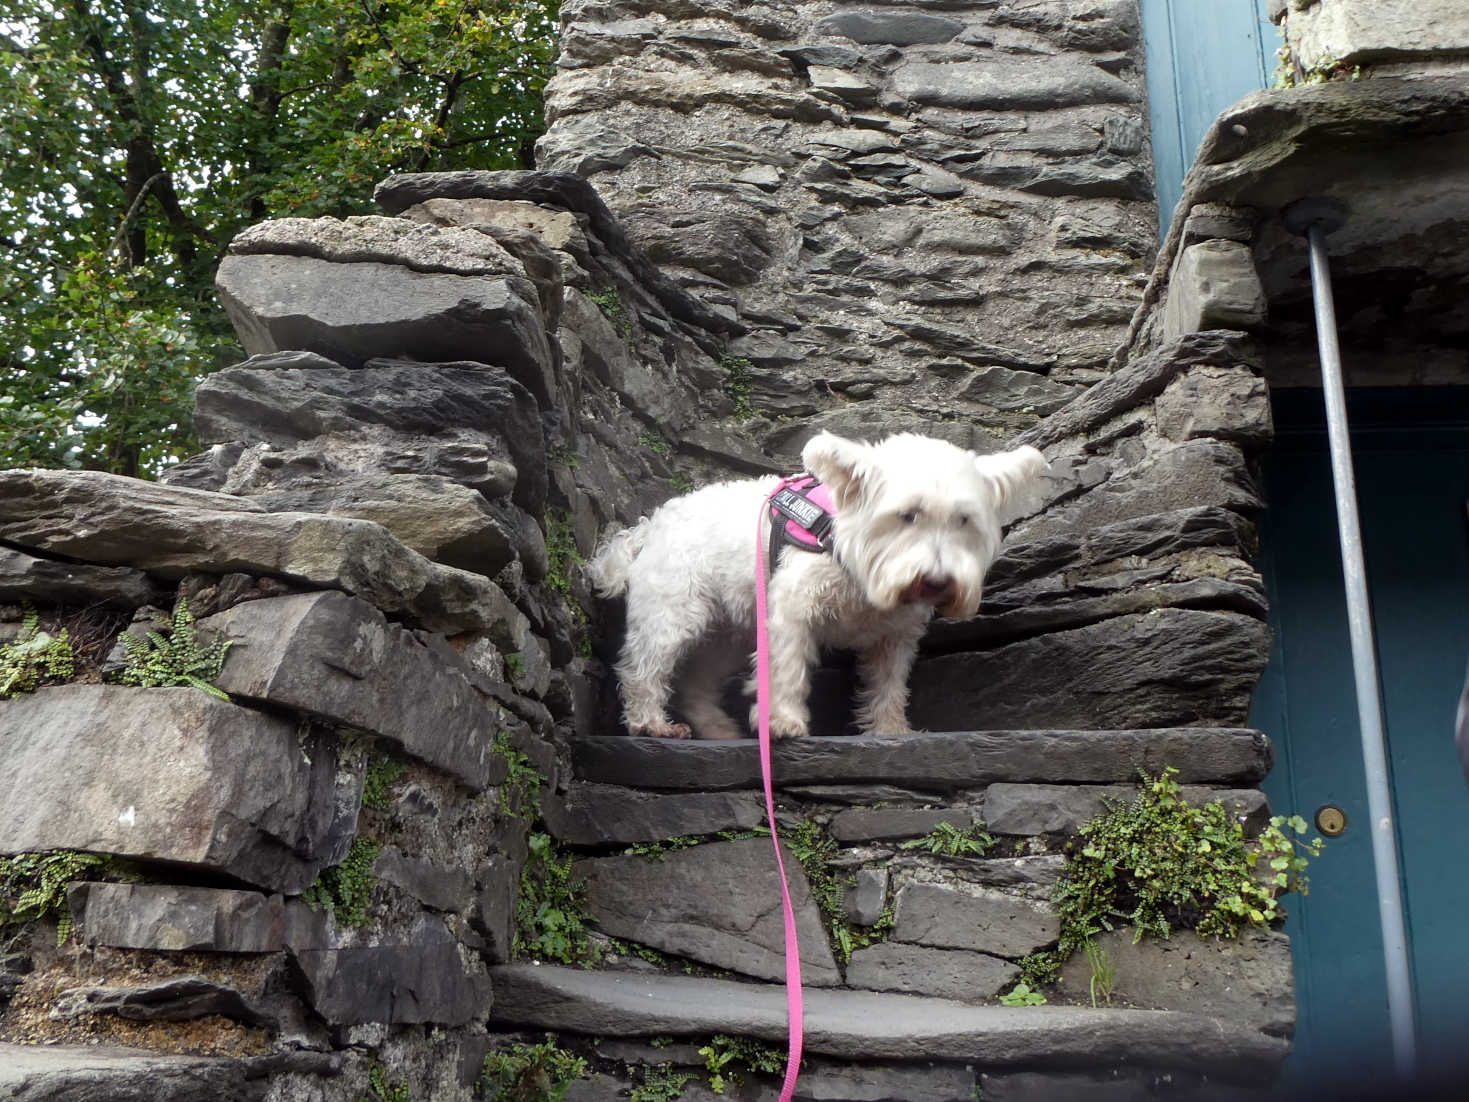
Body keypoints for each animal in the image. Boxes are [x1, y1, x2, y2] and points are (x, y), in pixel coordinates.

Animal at [584, 434, 1045, 743]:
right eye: (907, 515)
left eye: (963, 520)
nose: (936, 581)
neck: (856, 560)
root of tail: (651, 524)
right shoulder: (790, 609)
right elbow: (786, 666)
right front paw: (781, 721)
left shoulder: (896, 636)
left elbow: (890, 684)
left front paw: (890, 729)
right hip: (674, 610)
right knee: (643, 667)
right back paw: (650, 722)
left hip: (728, 634)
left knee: (696, 683)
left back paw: (717, 729)